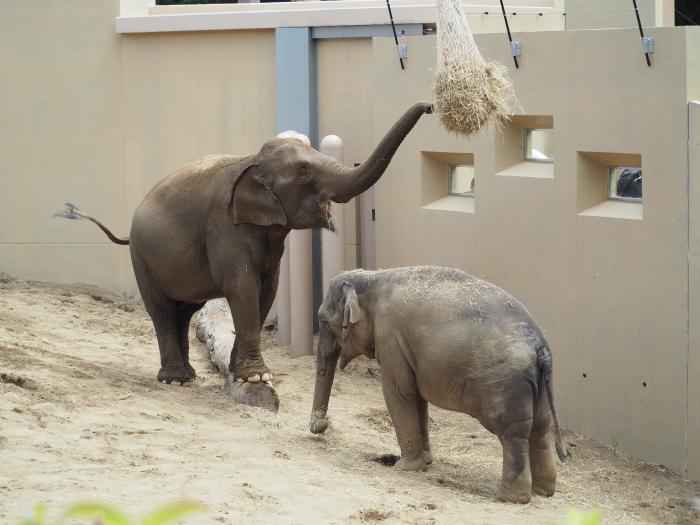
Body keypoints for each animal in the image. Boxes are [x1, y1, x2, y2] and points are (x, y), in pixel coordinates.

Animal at [58, 102, 432, 410]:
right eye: (303, 172)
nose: (430, 106)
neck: (250, 160)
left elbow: (266, 290)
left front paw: (242, 374)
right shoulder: (224, 228)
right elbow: (242, 287)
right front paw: (255, 378)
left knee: (183, 312)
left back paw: (188, 376)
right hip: (142, 258)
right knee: (161, 310)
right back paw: (175, 380)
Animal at [310, 266, 568, 504]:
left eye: (323, 321)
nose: (323, 423)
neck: (372, 278)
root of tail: (540, 344)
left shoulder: (389, 337)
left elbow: (398, 393)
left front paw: (404, 468)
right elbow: (417, 398)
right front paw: (426, 462)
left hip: (506, 385)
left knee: (513, 433)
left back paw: (510, 498)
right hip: (538, 383)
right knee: (540, 428)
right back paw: (543, 492)